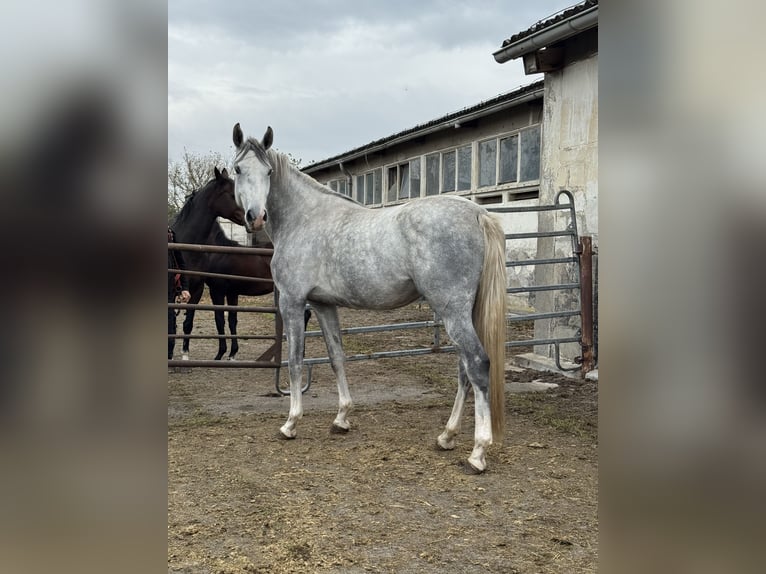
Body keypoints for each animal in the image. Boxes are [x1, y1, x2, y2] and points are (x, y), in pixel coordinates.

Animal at [171, 167, 274, 360]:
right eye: (233, 195)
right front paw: (229, 353)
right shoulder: (223, 291)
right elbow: (228, 320)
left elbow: (215, 320)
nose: (256, 219)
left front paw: (220, 354)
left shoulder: (209, 290)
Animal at [230, 123, 508, 473]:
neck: (304, 219)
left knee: (477, 364)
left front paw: (290, 424)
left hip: (451, 310)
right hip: (463, 312)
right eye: (238, 169)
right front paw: (342, 418)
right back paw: (447, 436)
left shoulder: (292, 302)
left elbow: (294, 361)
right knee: (464, 369)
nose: (256, 217)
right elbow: (337, 357)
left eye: (268, 171)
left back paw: (477, 453)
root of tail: (477, 213)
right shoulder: (323, 305)